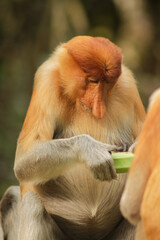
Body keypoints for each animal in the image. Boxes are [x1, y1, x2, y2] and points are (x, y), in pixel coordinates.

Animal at [0, 36, 146, 240]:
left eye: (108, 83)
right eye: (93, 80)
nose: (99, 107)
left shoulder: (128, 84)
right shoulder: (46, 82)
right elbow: (24, 161)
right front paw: (91, 150)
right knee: (32, 203)